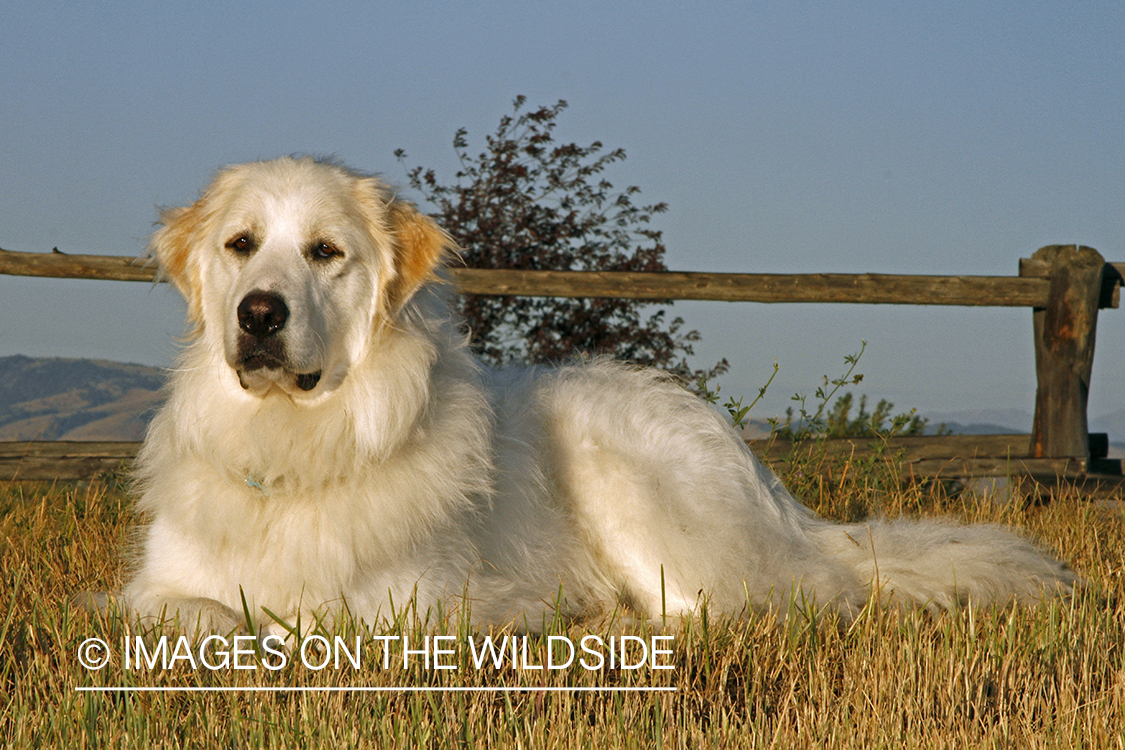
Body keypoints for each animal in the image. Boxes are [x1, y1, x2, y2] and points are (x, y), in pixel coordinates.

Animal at [120, 157, 1071, 634]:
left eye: (324, 252)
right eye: (242, 245)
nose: (258, 314)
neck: (292, 444)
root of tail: (767, 486)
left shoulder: (421, 600)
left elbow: (322, 627)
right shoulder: (156, 591)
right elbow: (200, 615)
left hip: (615, 465)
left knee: (748, 607)